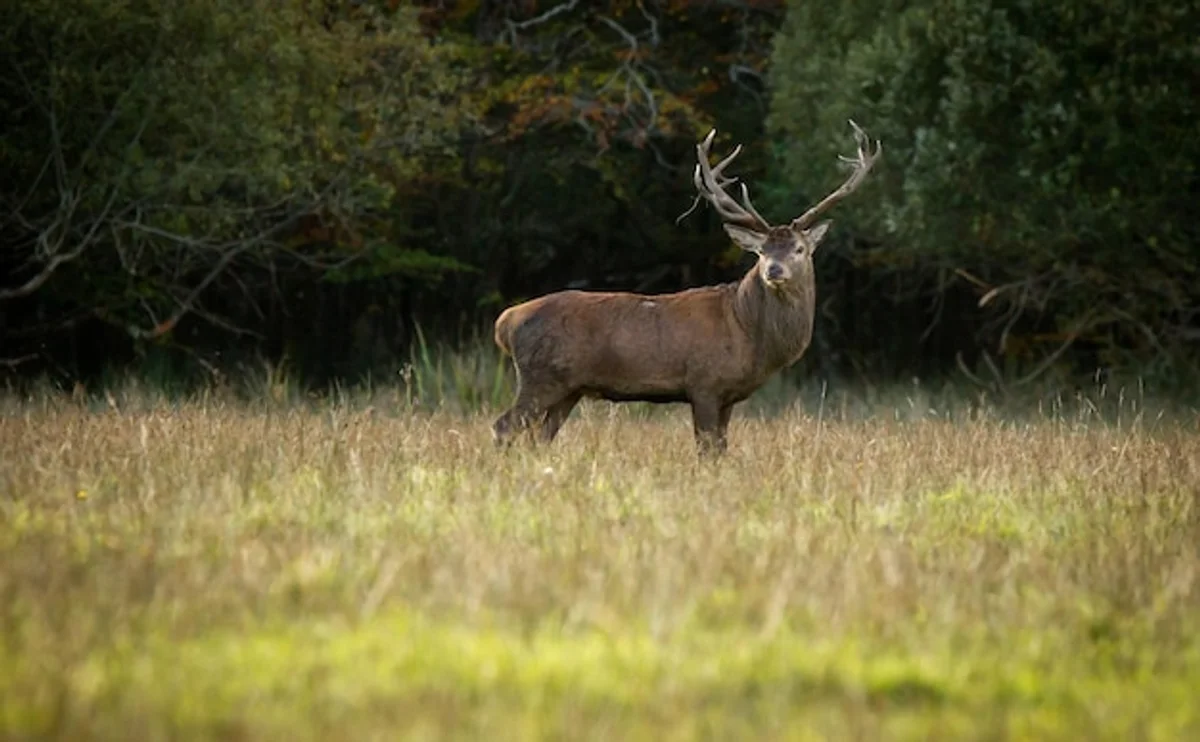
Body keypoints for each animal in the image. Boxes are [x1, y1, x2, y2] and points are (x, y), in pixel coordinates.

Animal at [491, 121, 881, 455]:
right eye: (760, 251)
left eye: (799, 249)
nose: (774, 270)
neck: (747, 331)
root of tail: (506, 321)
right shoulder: (703, 383)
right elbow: (706, 450)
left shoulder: (727, 396)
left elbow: (721, 449)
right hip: (541, 376)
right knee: (503, 426)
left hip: (568, 388)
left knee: (539, 437)